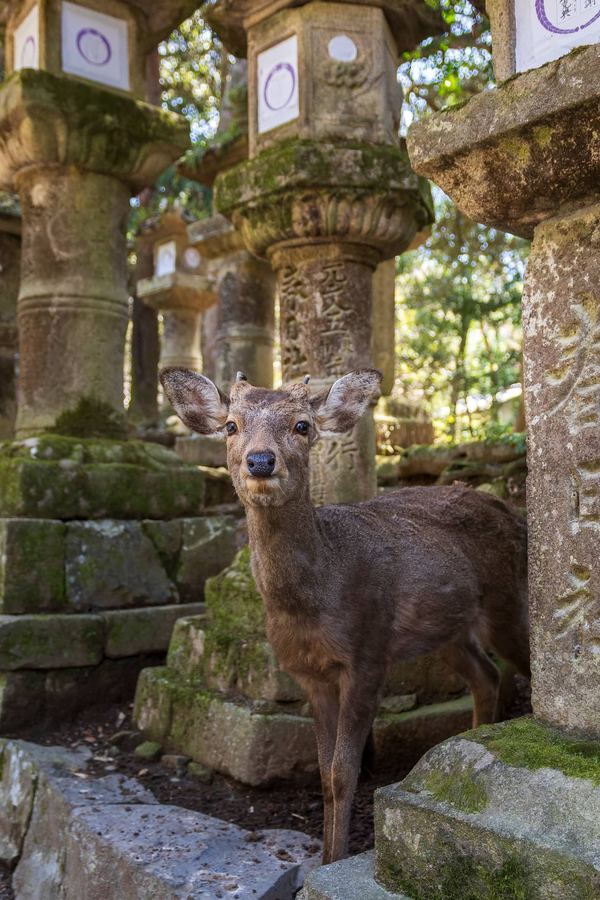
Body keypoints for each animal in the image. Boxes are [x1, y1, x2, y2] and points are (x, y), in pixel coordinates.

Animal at [160, 366, 530, 865]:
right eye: (231, 426)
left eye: (302, 426)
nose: (261, 461)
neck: (312, 604)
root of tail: (514, 512)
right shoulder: (309, 675)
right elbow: (323, 773)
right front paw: (325, 856)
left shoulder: (368, 654)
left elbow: (343, 771)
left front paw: (333, 861)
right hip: (446, 631)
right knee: (486, 676)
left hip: (506, 600)